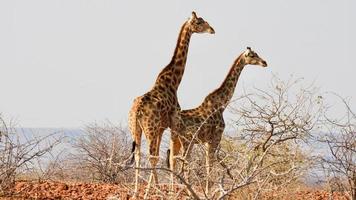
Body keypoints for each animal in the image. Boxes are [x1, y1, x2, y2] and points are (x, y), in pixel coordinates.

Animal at [128, 10, 214, 197]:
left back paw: (137, 191)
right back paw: (148, 191)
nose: (212, 30)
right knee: (150, 156)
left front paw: (162, 187)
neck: (174, 82)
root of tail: (136, 110)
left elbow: (164, 156)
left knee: (138, 155)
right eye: (199, 22)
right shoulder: (173, 123)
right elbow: (173, 157)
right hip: (150, 129)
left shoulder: (161, 127)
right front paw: (170, 189)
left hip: (136, 129)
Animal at [168, 46, 268, 194]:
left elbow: (208, 163)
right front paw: (208, 191)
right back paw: (187, 189)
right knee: (184, 161)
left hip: (175, 140)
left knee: (172, 161)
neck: (222, 105)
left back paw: (172, 189)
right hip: (187, 141)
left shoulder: (207, 141)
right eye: (252, 55)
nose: (264, 62)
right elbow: (210, 164)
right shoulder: (216, 137)